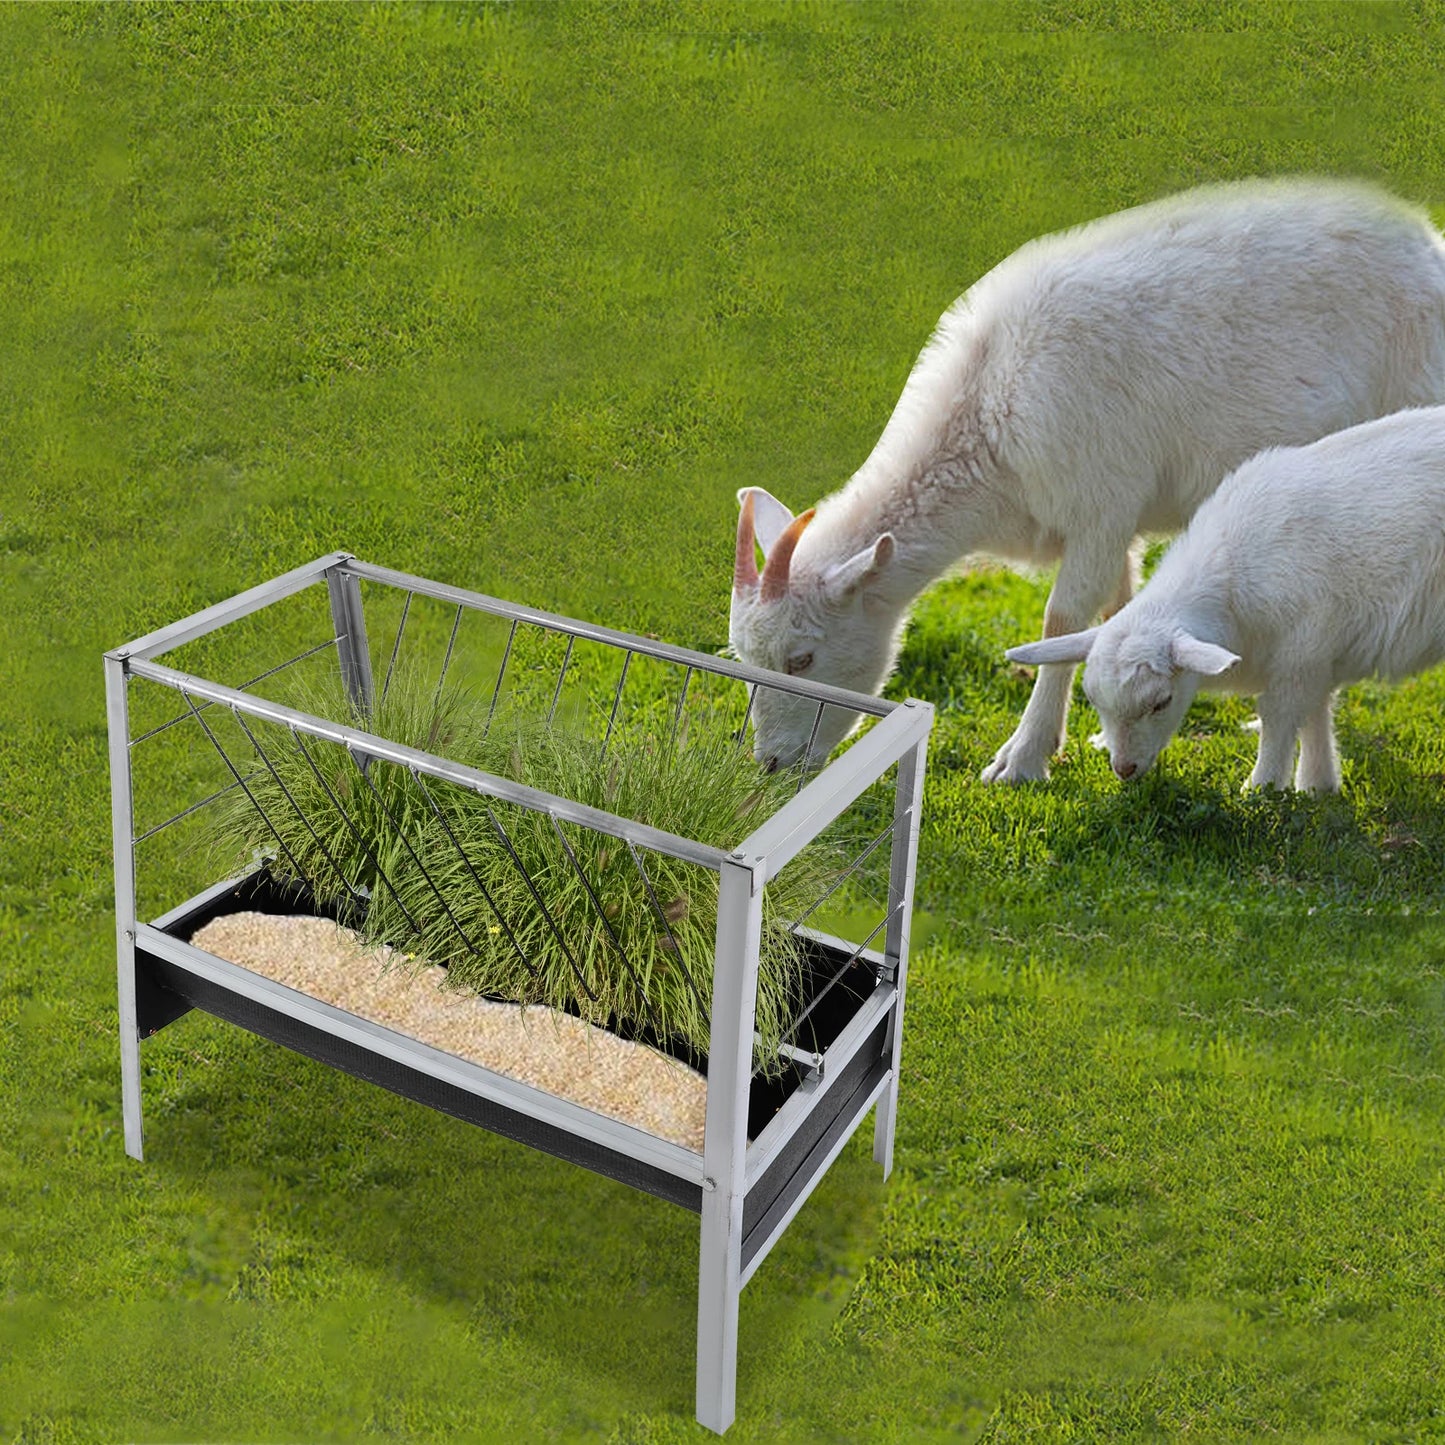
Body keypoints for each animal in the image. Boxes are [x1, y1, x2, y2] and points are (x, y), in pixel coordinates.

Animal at [1005, 405, 1445, 792]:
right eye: (1095, 702)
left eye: (1162, 702)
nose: (1124, 769)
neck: (1229, 579)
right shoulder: (1316, 657)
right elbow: (1315, 713)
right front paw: (1318, 787)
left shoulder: (1304, 646)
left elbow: (1281, 714)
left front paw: (1262, 788)